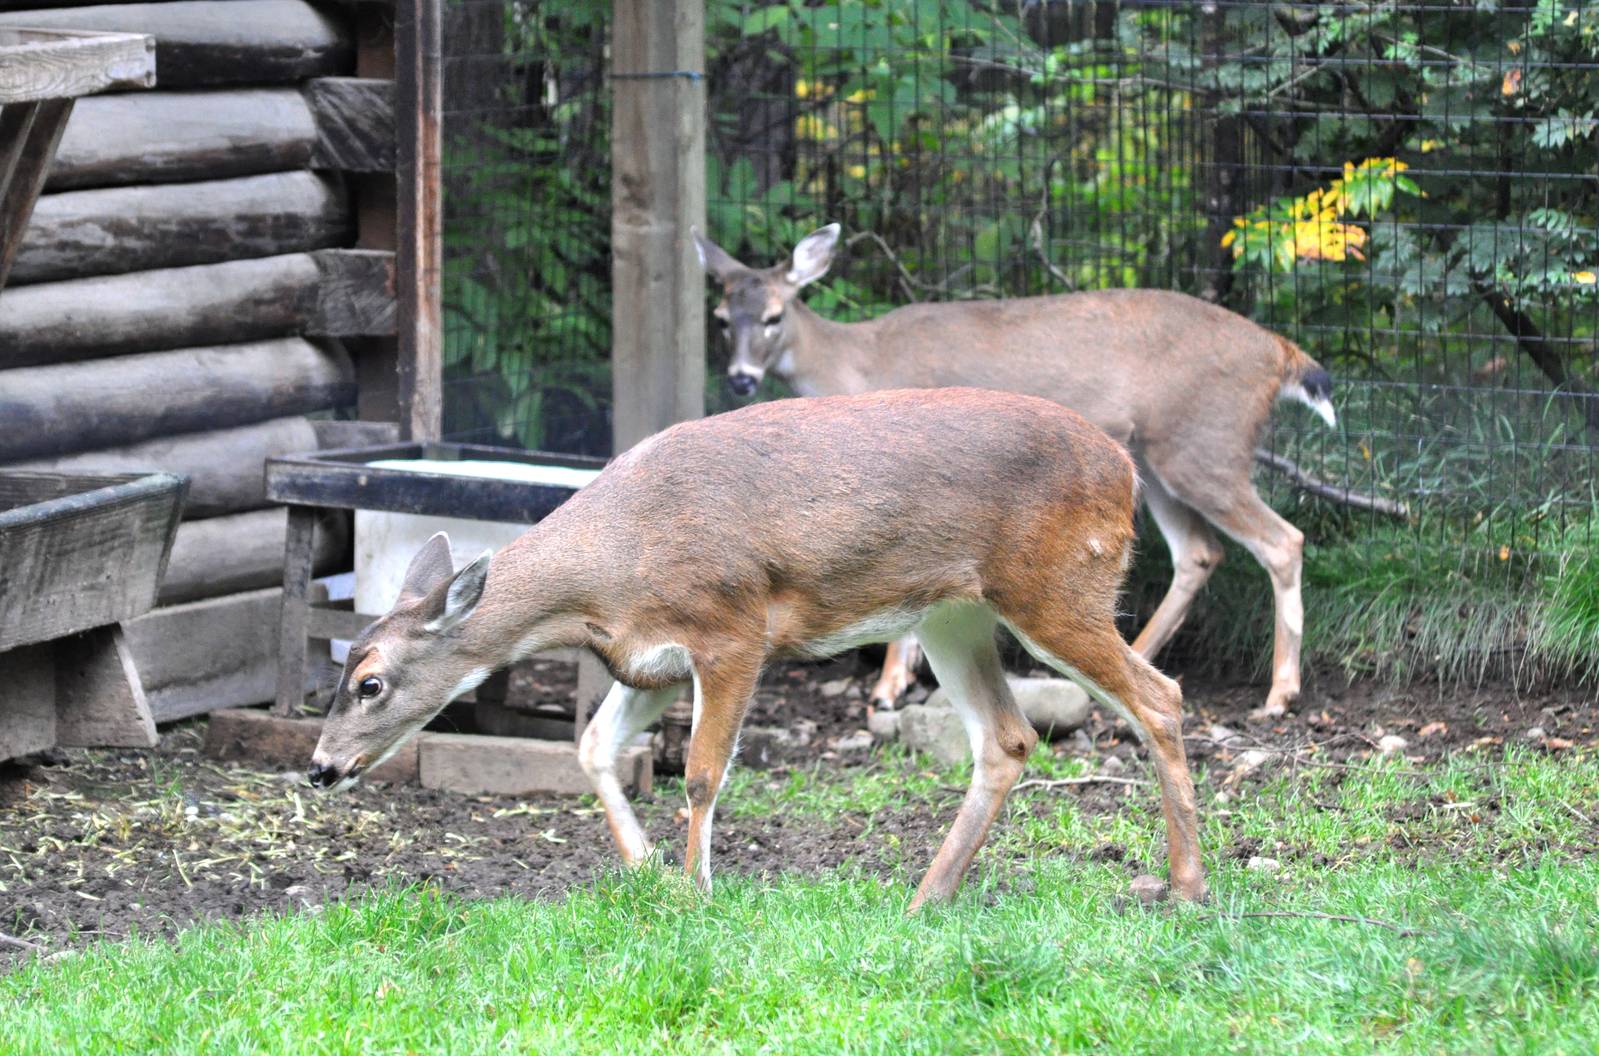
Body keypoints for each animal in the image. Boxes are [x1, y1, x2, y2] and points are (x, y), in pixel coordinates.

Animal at [306, 388, 1207, 909]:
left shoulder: (731, 628)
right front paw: (646, 869)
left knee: (1160, 696)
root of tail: (1124, 469)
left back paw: (1187, 887)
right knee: (1007, 737)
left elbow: (703, 773)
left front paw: (694, 894)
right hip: (951, 613)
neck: (608, 574)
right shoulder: (651, 661)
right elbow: (593, 746)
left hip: (1055, 585)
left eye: (371, 682)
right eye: (343, 666)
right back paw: (926, 897)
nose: (319, 766)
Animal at [694, 223, 1337, 720]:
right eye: (722, 317)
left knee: (1283, 539)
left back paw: (1279, 695)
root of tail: (1280, 354)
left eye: (774, 316)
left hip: (1206, 445)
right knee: (1199, 553)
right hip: (1160, 460)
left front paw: (888, 687)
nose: (741, 379)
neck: (857, 363)